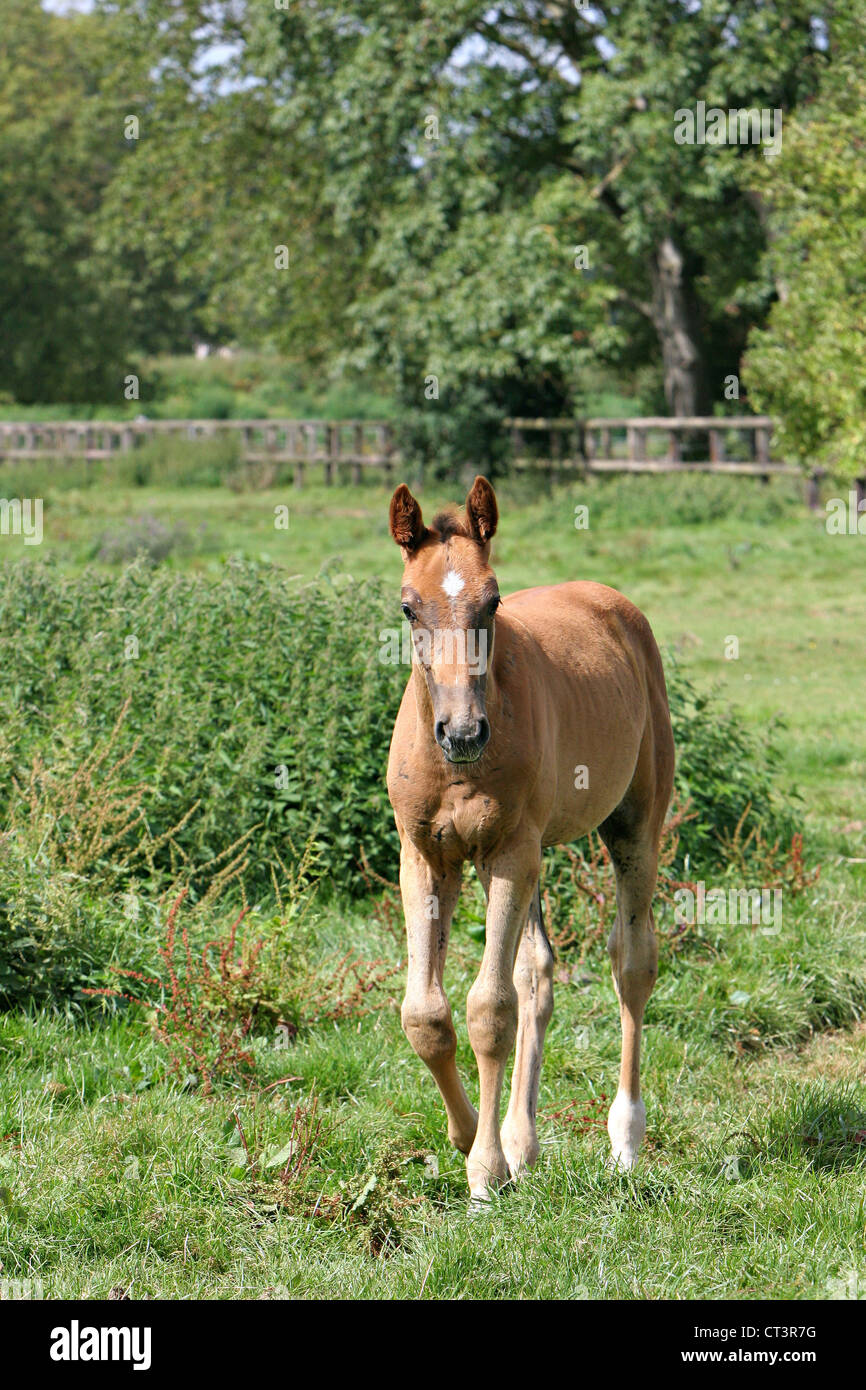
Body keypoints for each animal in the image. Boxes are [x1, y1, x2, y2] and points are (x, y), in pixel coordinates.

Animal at [386, 476, 675, 1200]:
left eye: (492, 601)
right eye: (408, 607)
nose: (463, 732)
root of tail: (612, 602)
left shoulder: (509, 853)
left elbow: (491, 1010)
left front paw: (484, 1174)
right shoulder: (425, 856)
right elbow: (427, 1015)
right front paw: (471, 1139)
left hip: (632, 824)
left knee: (632, 963)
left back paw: (625, 1140)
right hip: (526, 856)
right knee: (537, 974)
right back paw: (523, 1142)